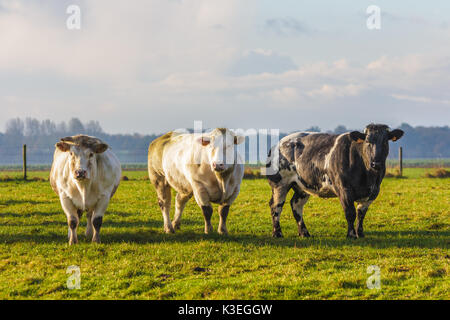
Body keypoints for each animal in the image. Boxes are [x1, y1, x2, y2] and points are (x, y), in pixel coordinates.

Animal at [266, 124, 406, 239]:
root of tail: (279, 143)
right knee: (276, 205)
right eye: (367, 141)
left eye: (385, 142)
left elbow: (361, 213)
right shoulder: (344, 189)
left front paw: (360, 233)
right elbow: (350, 213)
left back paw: (304, 232)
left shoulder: (373, 191)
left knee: (296, 205)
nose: (376, 163)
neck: (368, 176)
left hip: (303, 186)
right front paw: (351, 235)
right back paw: (277, 233)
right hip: (279, 184)